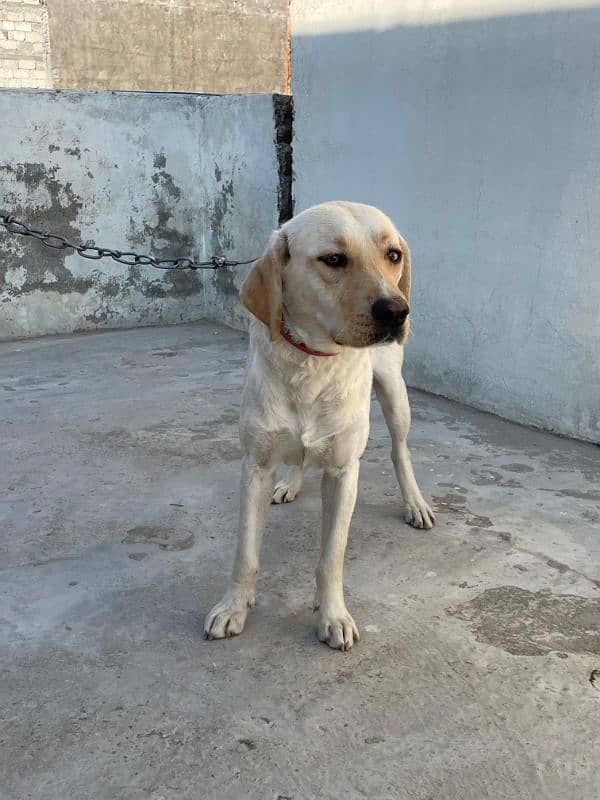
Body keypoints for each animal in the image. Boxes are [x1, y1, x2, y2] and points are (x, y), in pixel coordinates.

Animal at [204, 200, 434, 648]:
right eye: (333, 259)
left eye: (393, 255)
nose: (397, 311)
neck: (311, 363)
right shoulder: (254, 465)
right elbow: (245, 553)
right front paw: (233, 607)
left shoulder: (344, 472)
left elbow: (331, 558)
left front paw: (333, 616)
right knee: (302, 454)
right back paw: (290, 483)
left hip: (395, 394)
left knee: (400, 451)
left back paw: (414, 503)